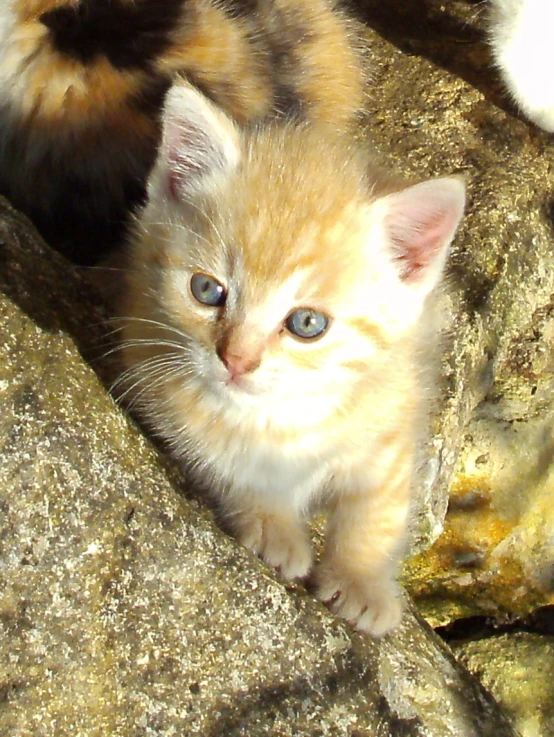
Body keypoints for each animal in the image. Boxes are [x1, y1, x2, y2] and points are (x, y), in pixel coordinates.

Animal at [117, 79, 466, 632]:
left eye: (306, 324)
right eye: (206, 290)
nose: (235, 360)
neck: (284, 417)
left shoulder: (393, 417)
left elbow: (378, 508)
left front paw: (362, 579)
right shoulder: (158, 382)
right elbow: (230, 464)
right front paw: (272, 528)